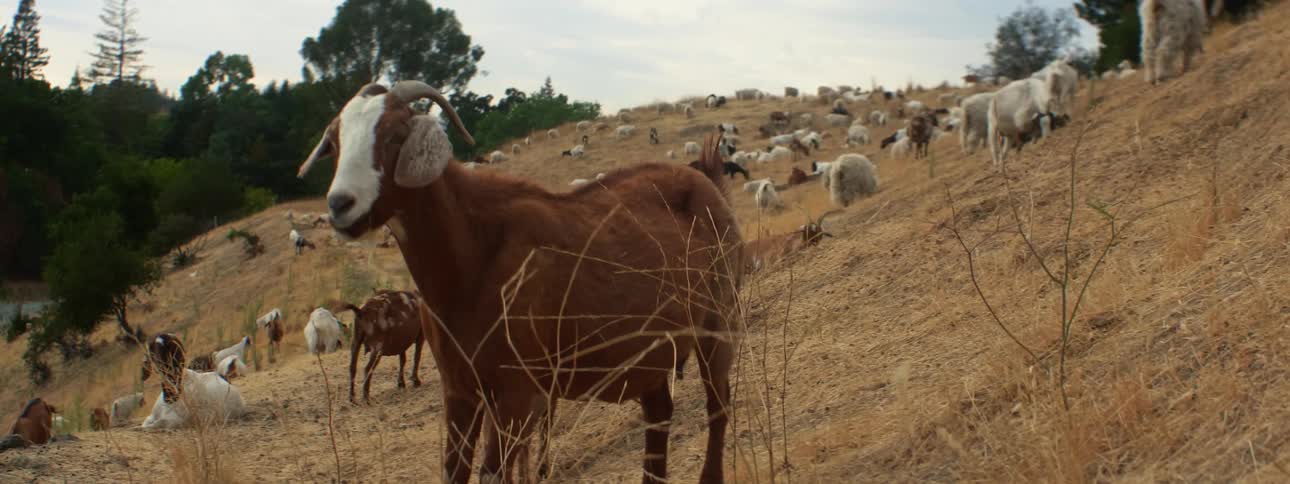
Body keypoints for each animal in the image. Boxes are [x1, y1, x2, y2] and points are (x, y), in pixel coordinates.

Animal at [296, 81, 740, 483]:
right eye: (335, 143)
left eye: (393, 135)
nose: (340, 204)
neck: (473, 256)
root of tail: (707, 177)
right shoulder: (459, 390)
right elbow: (454, 472)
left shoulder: (517, 391)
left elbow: (493, 474)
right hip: (653, 350)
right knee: (659, 413)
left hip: (718, 319)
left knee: (718, 406)